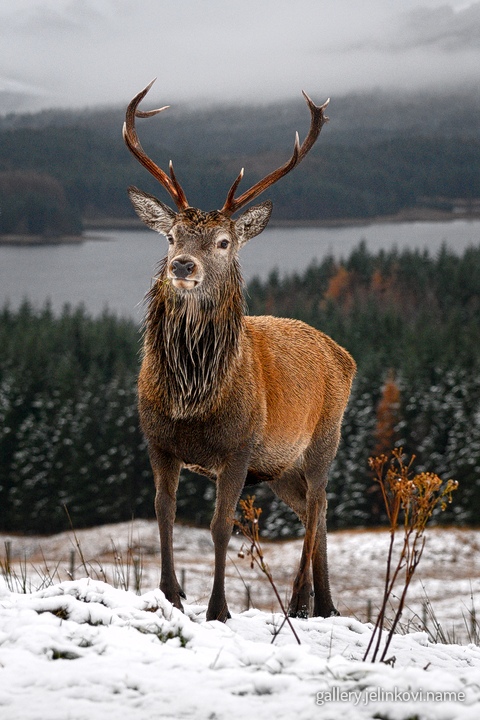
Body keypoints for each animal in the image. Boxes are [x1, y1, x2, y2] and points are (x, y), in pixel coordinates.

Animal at [123, 79, 356, 623]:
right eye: (171, 236)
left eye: (224, 241)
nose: (182, 266)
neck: (191, 401)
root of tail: (345, 357)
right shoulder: (157, 441)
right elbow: (162, 513)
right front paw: (169, 595)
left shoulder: (239, 446)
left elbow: (220, 525)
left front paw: (218, 610)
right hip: (280, 468)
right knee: (317, 510)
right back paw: (325, 605)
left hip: (324, 439)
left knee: (319, 505)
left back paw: (300, 600)